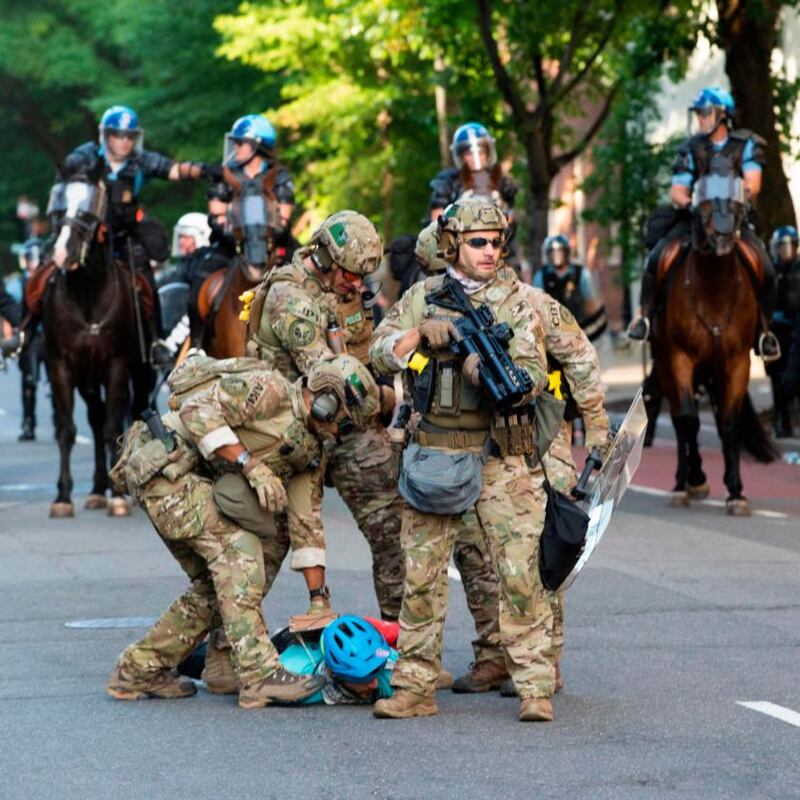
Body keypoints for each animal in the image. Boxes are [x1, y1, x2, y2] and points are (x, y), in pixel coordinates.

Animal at [648, 172, 776, 516]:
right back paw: (686, 482)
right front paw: (693, 480)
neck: (714, 289)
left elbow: (729, 424)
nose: (721, 235)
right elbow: (689, 420)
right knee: (679, 419)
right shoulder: (679, 358)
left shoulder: (736, 362)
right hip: (667, 364)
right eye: (702, 200)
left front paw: (736, 492)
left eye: (736, 195)